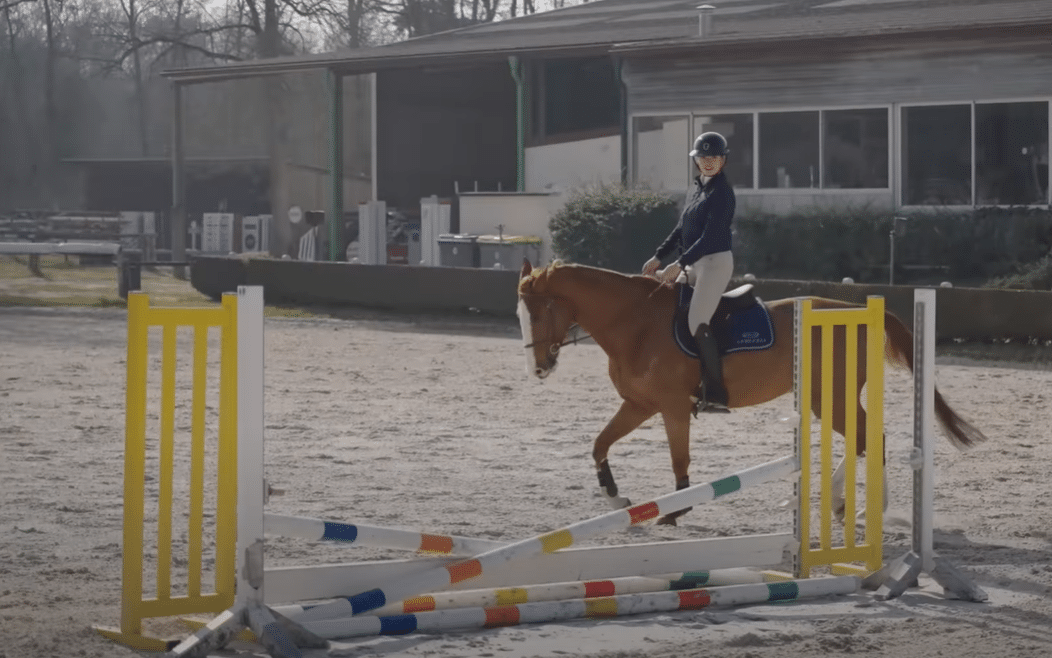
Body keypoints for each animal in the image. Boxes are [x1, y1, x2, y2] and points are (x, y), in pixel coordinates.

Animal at [517, 258, 984, 526]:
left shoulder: (671, 407)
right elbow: (599, 444)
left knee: (872, 439)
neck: (635, 322)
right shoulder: (639, 404)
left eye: (538, 312)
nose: (538, 368)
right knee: (864, 440)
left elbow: (679, 458)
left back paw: (868, 507)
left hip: (830, 397)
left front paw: (677, 509)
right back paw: (841, 503)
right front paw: (616, 499)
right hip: (827, 398)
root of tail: (858, 312)